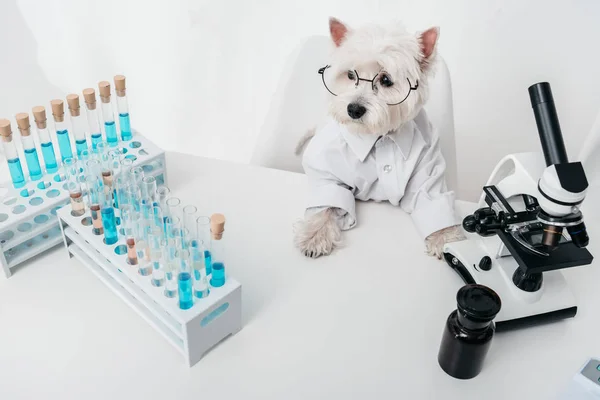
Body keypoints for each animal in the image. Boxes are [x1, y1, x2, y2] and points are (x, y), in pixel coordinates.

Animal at [294, 17, 464, 258]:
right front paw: (315, 235)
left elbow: (431, 197)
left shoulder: (427, 164)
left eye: (386, 80)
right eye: (350, 75)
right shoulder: (327, 166)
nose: (353, 109)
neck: (376, 136)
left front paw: (447, 239)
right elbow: (327, 198)